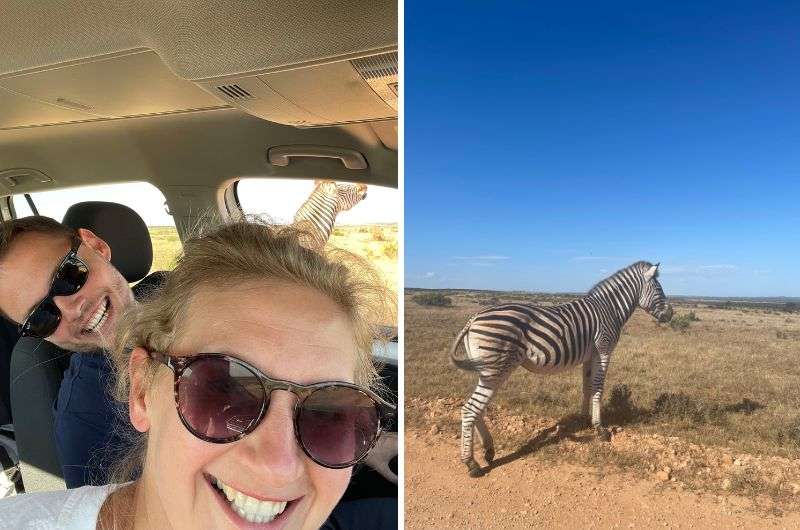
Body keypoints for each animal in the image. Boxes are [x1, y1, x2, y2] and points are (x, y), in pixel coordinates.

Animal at [454, 260, 672, 474]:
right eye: (659, 289)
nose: (670, 314)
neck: (610, 309)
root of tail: (473, 318)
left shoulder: (589, 356)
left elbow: (587, 387)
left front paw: (584, 419)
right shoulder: (603, 350)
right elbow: (598, 389)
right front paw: (600, 429)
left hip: (487, 369)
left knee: (477, 407)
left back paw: (488, 450)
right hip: (496, 367)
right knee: (471, 408)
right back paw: (471, 464)